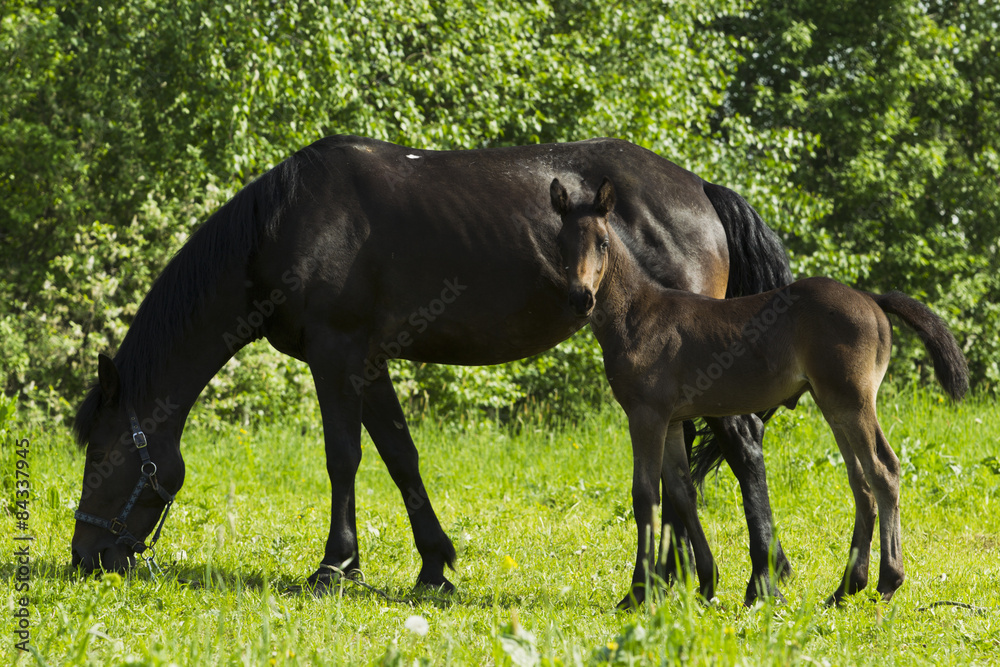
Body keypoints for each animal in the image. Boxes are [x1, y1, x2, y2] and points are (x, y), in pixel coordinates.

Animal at [68, 134, 796, 600]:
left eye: (101, 455)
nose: (85, 558)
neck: (286, 222)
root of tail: (700, 189)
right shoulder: (367, 362)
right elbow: (400, 456)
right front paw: (434, 565)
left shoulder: (336, 355)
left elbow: (344, 457)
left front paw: (336, 565)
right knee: (687, 464)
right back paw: (678, 580)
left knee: (742, 446)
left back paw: (759, 577)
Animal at [552, 176, 972, 604]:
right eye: (560, 242)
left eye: (603, 242)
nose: (581, 297)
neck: (637, 315)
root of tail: (872, 299)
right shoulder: (671, 420)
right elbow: (683, 493)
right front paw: (707, 582)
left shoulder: (646, 415)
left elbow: (645, 496)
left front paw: (638, 593)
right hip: (834, 405)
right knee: (861, 481)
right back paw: (845, 588)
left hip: (854, 401)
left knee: (883, 470)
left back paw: (887, 580)